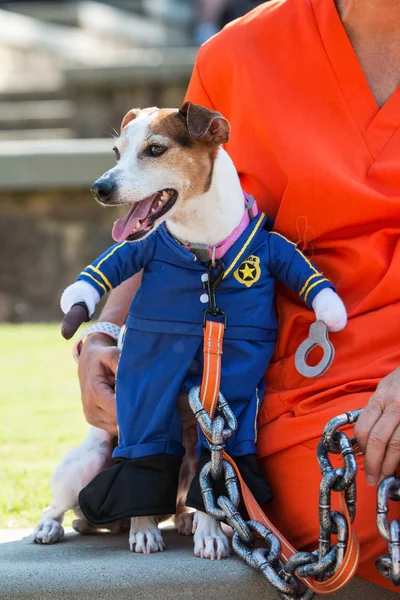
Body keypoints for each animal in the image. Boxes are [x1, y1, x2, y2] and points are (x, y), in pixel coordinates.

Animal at [32, 102, 346, 556]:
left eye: (155, 149)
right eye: (116, 152)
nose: (99, 188)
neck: (203, 253)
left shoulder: (223, 393)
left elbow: (210, 467)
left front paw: (210, 533)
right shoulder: (145, 379)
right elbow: (139, 456)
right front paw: (143, 529)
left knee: (186, 483)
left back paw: (185, 520)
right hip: (85, 464)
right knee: (60, 502)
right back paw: (53, 526)